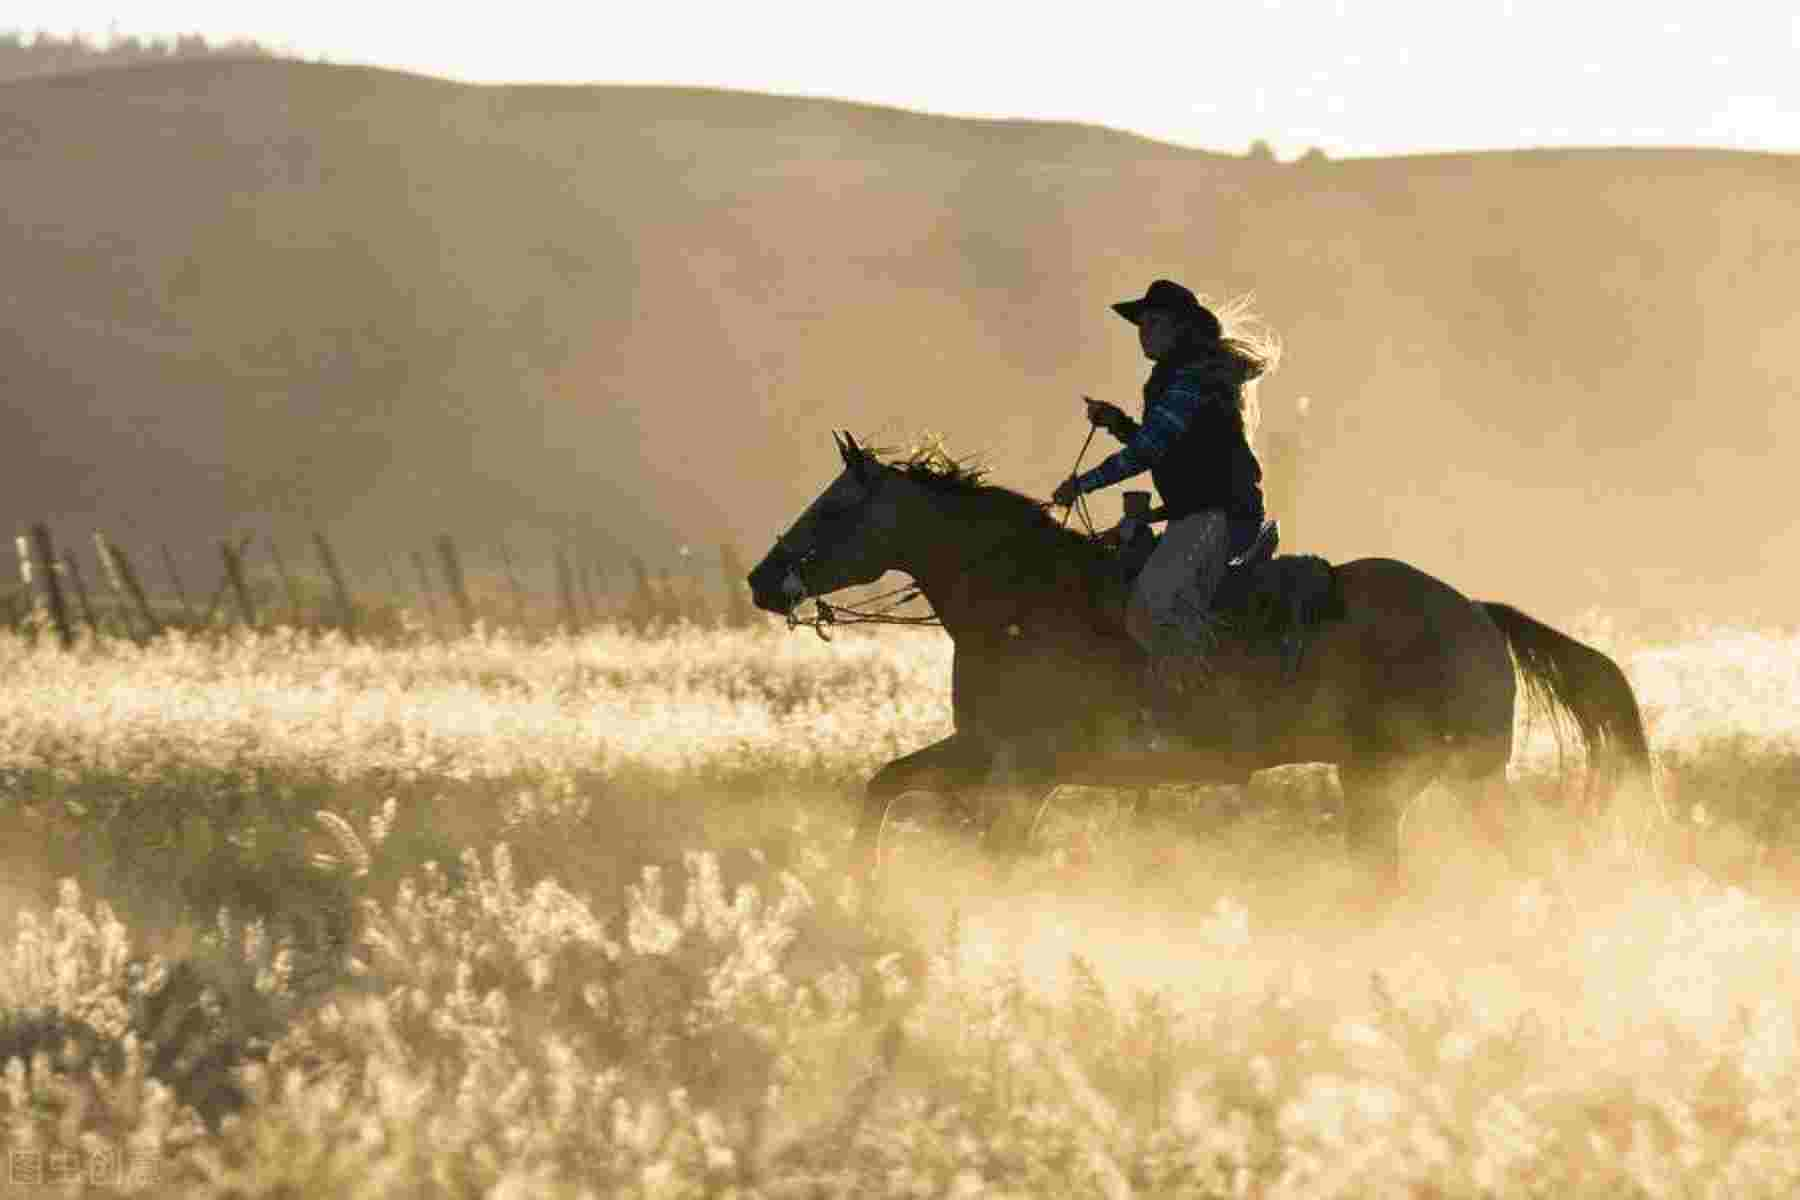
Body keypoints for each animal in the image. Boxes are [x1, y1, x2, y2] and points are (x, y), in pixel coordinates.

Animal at [741, 437, 1648, 877]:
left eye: (833, 509)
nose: (761, 579)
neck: (1021, 598)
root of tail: (1477, 616)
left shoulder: (1024, 773)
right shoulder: (982, 753)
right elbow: (883, 787)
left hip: (1441, 779)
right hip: (1380, 785)